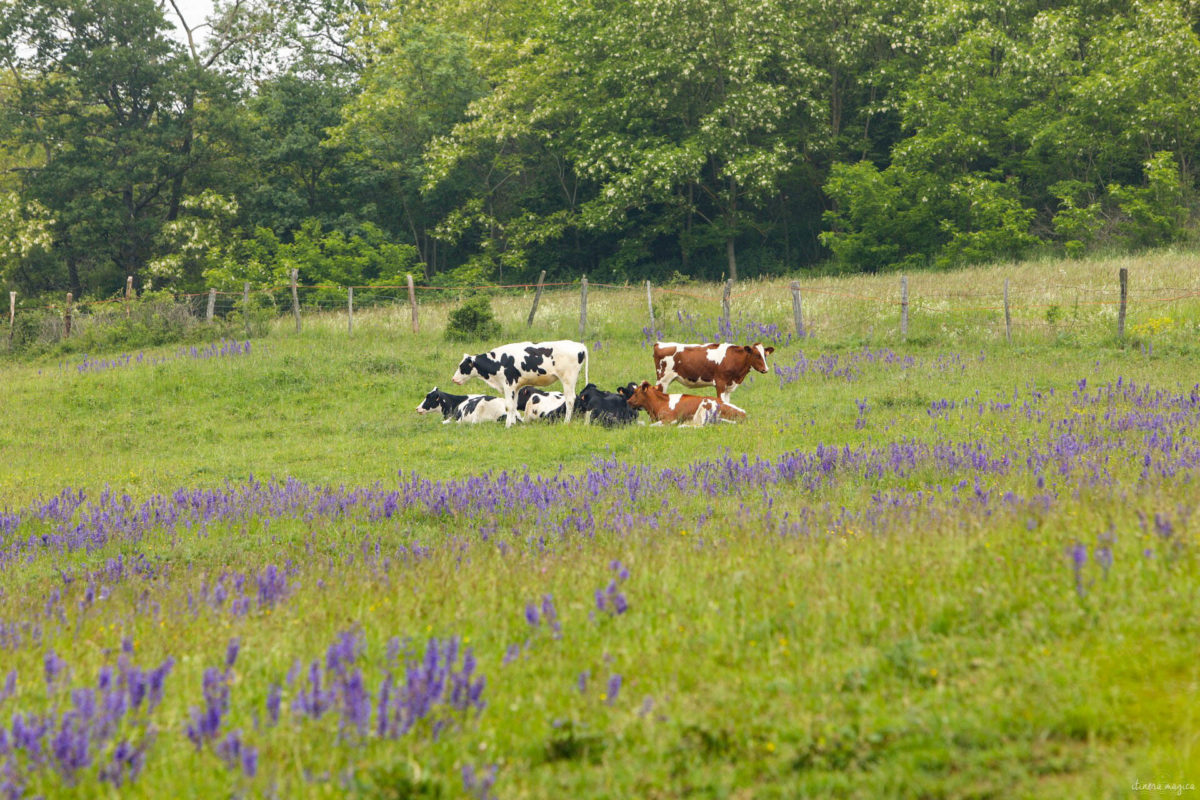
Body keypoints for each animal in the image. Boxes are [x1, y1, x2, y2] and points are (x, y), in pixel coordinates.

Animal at [451, 338, 588, 424]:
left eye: (462, 366)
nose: (453, 379)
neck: (499, 361)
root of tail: (579, 345)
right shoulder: (516, 387)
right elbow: (513, 406)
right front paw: (513, 423)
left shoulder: (508, 384)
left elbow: (508, 406)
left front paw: (507, 425)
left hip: (568, 379)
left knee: (570, 399)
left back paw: (566, 421)